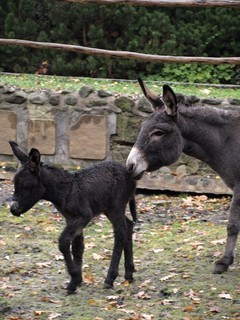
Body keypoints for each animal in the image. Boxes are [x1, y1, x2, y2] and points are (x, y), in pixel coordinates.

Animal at [8, 141, 137, 294]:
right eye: (15, 184)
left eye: (26, 186)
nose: (13, 209)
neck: (65, 191)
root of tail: (128, 171)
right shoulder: (70, 218)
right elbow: (77, 247)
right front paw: (77, 280)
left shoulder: (83, 216)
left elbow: (63, 242)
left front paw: (74, 278)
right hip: (109, 208)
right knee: (128, 225)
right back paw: (129, 273)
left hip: (116, 206)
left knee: (120, 232)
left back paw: (110, 278)